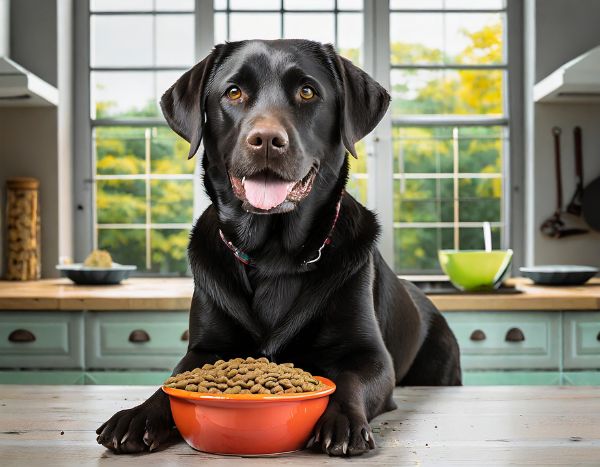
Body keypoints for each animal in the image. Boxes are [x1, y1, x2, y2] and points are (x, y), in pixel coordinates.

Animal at [96, 40, 462, 458]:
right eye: (233, 92)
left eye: (307, 91)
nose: (267, 141)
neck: (274, 255)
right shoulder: (203, 349)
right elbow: (171, 382)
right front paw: (139, 415)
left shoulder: (371, 356)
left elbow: (350, 381)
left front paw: (342, 421)